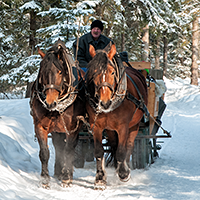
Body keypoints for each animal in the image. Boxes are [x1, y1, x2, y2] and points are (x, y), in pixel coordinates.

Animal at [30, 39, 85, 188]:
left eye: (60, 72)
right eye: (42, 72)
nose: (50, 103)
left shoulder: (72, 129)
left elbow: (68, 150)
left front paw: (66, 178)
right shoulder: (40, 126)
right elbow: (44, 152)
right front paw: (45, 180)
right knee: (58, 145)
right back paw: (58, 172)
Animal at [86, 43, 148, 188]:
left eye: (112, 72)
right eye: (93, 72)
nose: (104, 103)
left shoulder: (123, 127)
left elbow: (121, 151)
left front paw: (124, 174)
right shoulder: (96, 126)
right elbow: (99, 151)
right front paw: (100, 179)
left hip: (135, 125)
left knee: (129, 146)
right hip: (110, 129)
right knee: (114, 144)